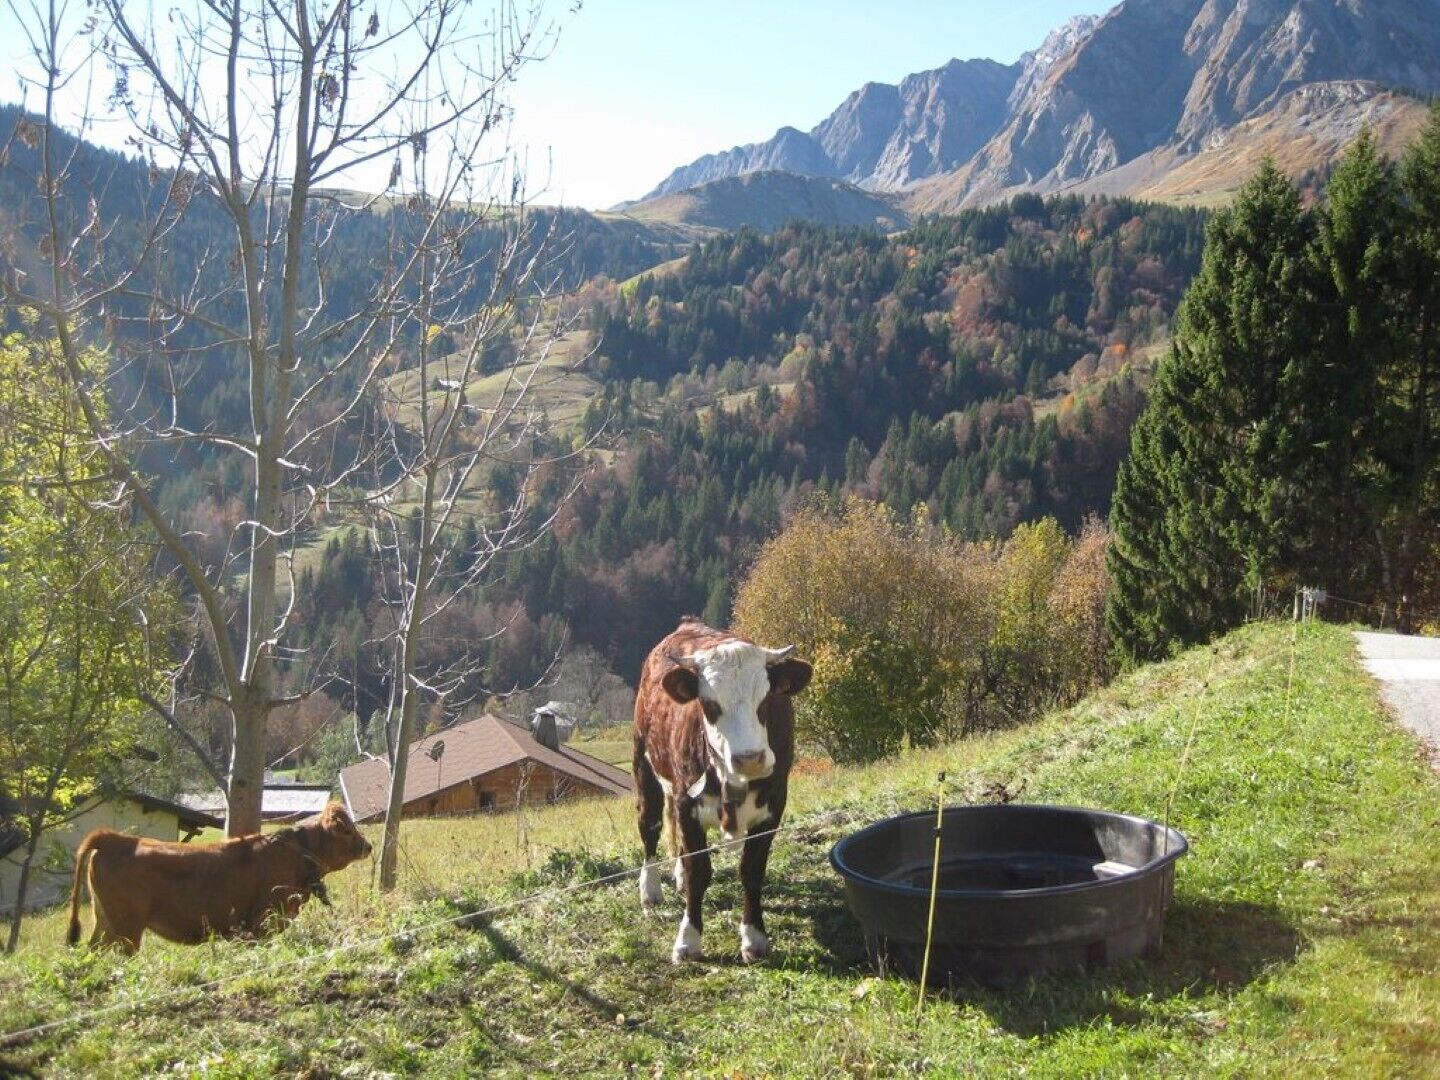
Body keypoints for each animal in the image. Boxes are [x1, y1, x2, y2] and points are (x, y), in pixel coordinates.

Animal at [67, 802, 372, 953]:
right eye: (347, 830)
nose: (368, 846)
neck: (297, 852)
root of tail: (114, 838)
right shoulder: (262, 923)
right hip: (125, 930)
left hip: (105, 923)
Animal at [633, 618, 812, 964]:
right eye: (710, 704)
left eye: (766, 700)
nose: (750, 758)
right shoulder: (686, 803)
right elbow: (698, 871)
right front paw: (688, 940)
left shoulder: (774, 807)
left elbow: (751, 870)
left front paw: (754, 938)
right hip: (644, 764)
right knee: (650, 825)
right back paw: (650, 890)